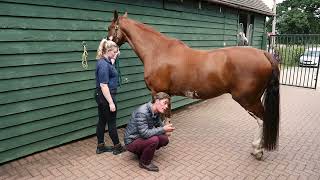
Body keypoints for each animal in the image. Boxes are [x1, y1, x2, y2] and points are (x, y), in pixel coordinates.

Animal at [106, 11, 278, 160]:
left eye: (109, 27)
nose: (106, 43)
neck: (157, 51)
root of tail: (263, 53)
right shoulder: (166, 94)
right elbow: (166, 117)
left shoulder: (158, 91)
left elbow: (162, 117)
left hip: (248, 100)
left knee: (262, 120)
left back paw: (257, 150)